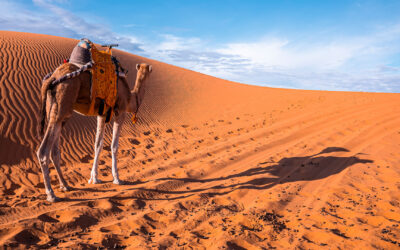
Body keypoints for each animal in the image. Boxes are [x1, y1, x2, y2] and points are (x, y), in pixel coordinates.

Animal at [36, 61, 152, 203]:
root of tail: (53, 77)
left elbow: (98, 144)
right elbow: (114, 146)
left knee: (55, 151)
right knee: (43, 151)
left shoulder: (102, 115)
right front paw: (117, 178)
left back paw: (65, 185)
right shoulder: (120, 111)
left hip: (56, 110)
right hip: (63, 103)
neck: (131, 98)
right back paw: (51, 194)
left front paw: (94, 178)